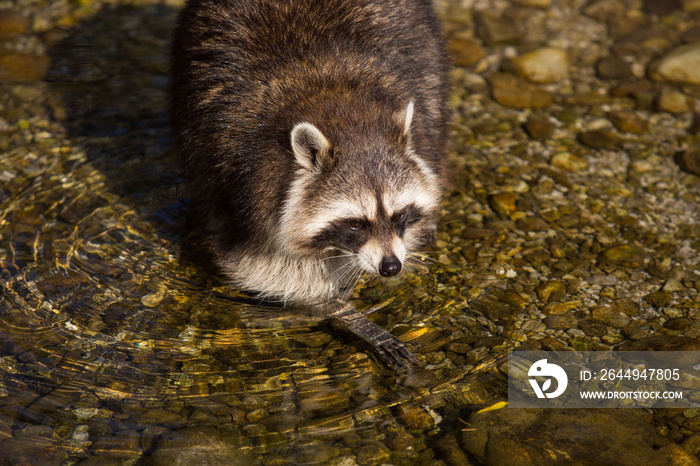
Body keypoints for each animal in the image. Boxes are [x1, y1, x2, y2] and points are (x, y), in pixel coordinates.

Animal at [172, 0, 452, 372]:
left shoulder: (425, 123)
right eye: (355, 223)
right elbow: (264, 267)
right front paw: (339, 310)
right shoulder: (241, 184)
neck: (342, 112)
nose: (391, 267)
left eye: (397, 215)